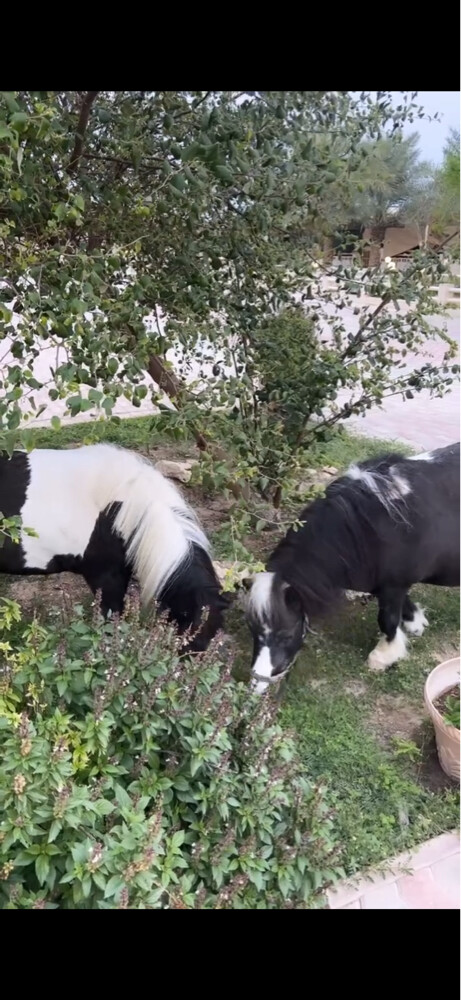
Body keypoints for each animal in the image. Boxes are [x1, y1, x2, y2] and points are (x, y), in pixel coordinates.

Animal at [246, 443, 460, 693]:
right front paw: (415, 624)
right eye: (253, 630)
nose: (256, 683)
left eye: (286, 634)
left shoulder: (394, 584)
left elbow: (387, 620)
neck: (371, 525)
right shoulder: (384, 583)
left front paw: (382, 657)